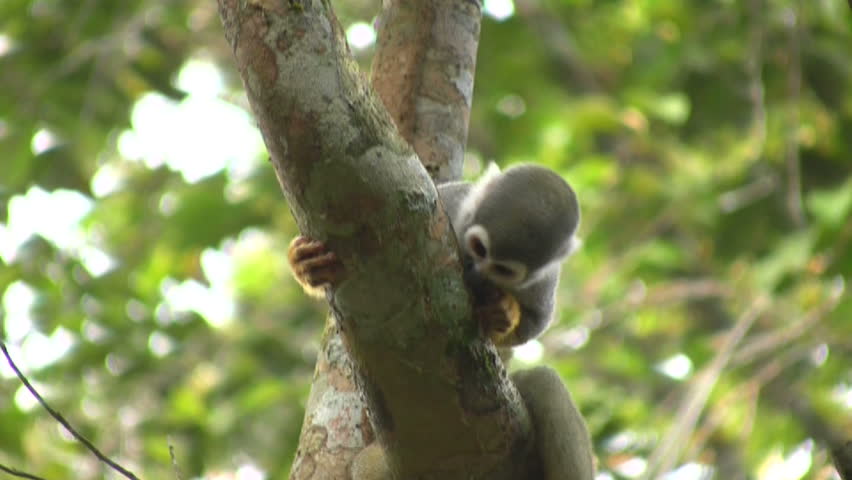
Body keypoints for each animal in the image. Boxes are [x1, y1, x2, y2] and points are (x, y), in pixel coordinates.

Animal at [288, 163, 594, 480]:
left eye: (503, 269)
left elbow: (535, 323)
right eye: (478, 248)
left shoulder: (544, 277)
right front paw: (304, 263)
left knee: (544, 382)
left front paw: (504, 313)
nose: (476, 274)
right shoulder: (448, 204)